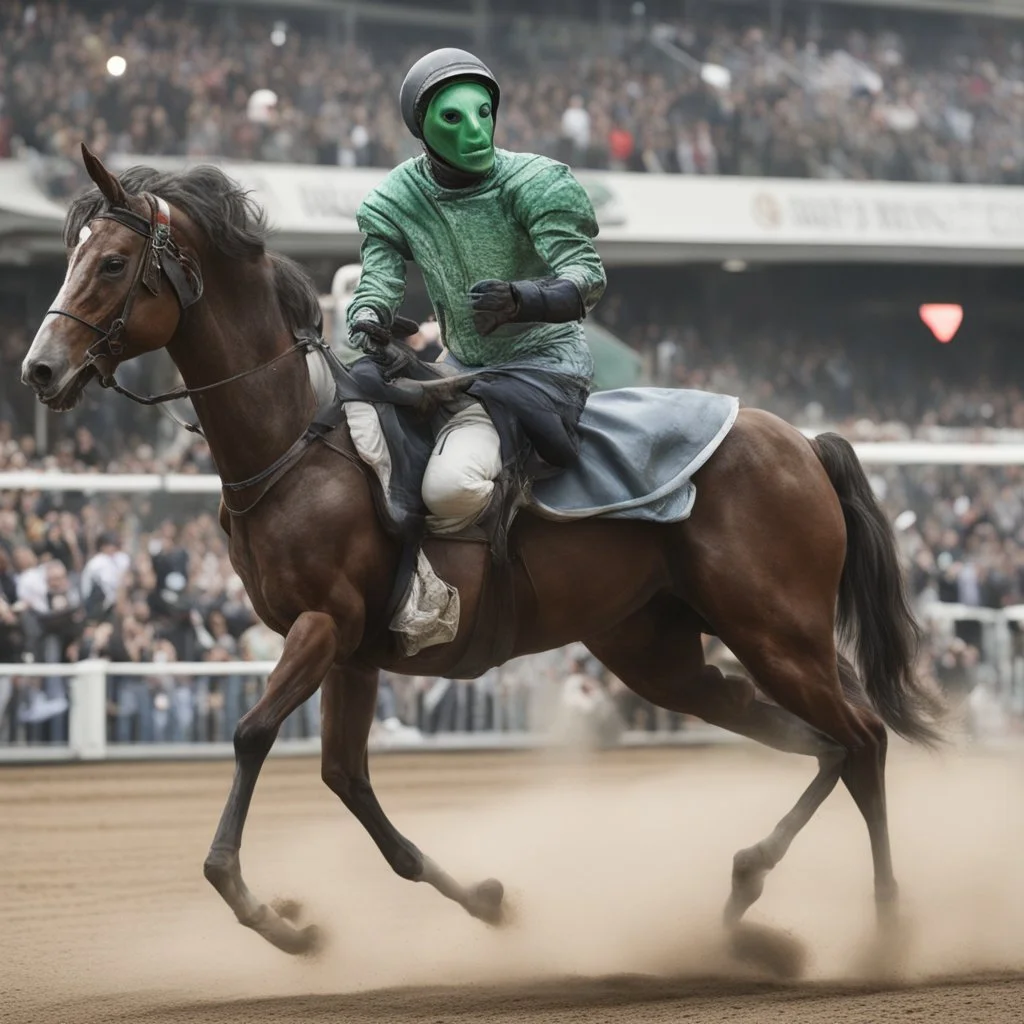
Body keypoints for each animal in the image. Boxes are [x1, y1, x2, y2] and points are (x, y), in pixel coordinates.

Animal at [24, 144, 937, 966]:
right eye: (68, 260)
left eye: (112, 262)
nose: (39, 370)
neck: (296, 445)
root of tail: (802, 443)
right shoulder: (352, 652)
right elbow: (347, 781)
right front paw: (483, 904)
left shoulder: (325, 624)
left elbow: (251, 736)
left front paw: (263, 910)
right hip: (661, 651)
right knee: (819, 740)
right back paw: (748, 892)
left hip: (775, 628)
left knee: (861, 738)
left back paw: (887, 931)